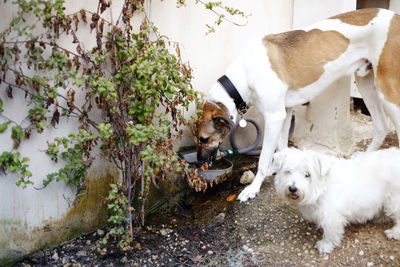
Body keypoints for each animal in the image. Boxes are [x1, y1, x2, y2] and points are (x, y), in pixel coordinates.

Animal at [195, 8, 400, 203]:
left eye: (204, 139)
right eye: (197, 138)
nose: (198, 163)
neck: (242, 78)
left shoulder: (274, 117)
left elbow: (263, 160)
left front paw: (253, 188)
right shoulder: (284, 114)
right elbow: (282, 148)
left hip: (387, 89)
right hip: (366, 83)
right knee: (382, 126)